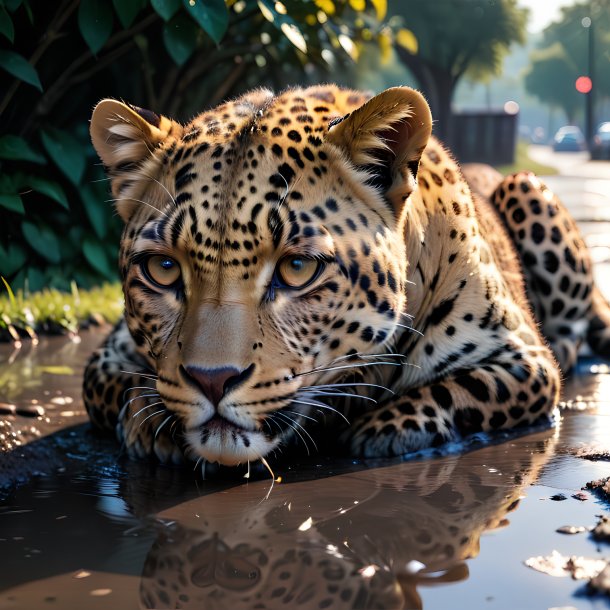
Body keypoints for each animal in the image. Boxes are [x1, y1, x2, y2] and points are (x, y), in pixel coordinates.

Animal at [81, 84, 608, 466]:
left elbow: (462, 387)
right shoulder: (107, 354)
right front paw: (149, 418)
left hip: (527, 188)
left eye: (296, 268)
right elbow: (106, 386)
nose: (212, 381)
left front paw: (387, 426)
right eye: (163, 268)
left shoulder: (525, 360)